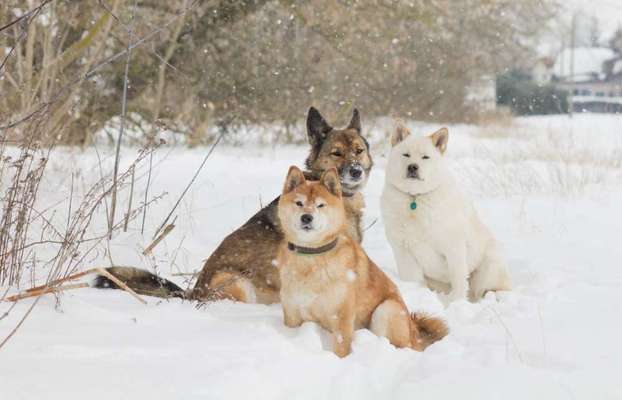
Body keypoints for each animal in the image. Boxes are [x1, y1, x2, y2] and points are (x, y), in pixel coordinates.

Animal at [278, 165, 448, 356]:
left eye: (320, 205)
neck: (311, 256)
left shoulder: (341, 315)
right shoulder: (292, 313)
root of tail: (415, 334)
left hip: (386, 310)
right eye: (299, 203)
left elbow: (341, 347)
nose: (306, 217)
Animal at [386, 124, 512, 300]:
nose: (412, 167)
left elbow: (458, 278)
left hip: (489, 265)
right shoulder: (403, 250)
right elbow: (413, 279)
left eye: (425, 157)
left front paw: (456, 302)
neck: (415, 198)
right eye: (406, 154)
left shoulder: (454, 246)